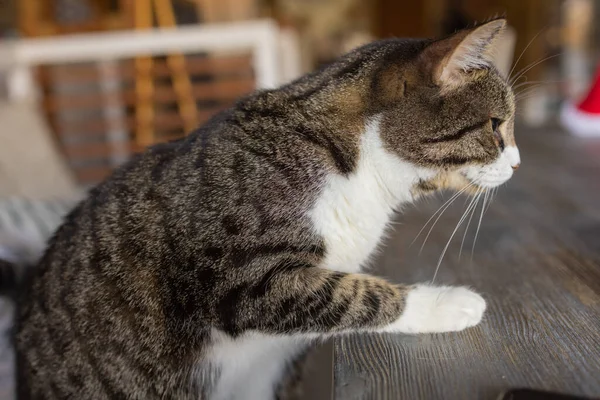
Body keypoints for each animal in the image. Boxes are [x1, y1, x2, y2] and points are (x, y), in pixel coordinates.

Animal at [14, 18, 520, 400]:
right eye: (496, 126)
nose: (517, 163)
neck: (356, 168)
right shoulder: (239, 279)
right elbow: (358, 295)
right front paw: (448, 303)